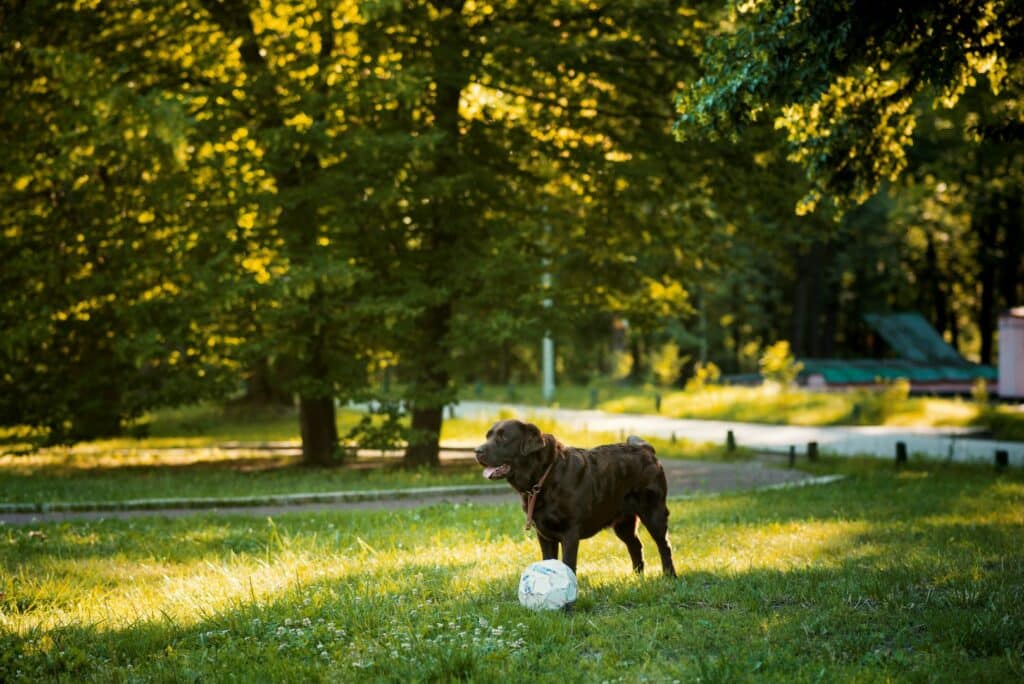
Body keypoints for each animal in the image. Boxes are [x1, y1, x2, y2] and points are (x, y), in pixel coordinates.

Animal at [473, 419, 679, 573]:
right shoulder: (545, 535)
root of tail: (646, 448)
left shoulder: (570, 533)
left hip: (654, 513)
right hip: (623, 523)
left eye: (503, 437)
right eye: (487, 436)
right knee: (635, 546)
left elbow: (568, 565)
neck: (545, 475)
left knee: (664, 545)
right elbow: (549, 560)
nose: (477, 451)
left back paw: (669, 577)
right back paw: (637, 578)